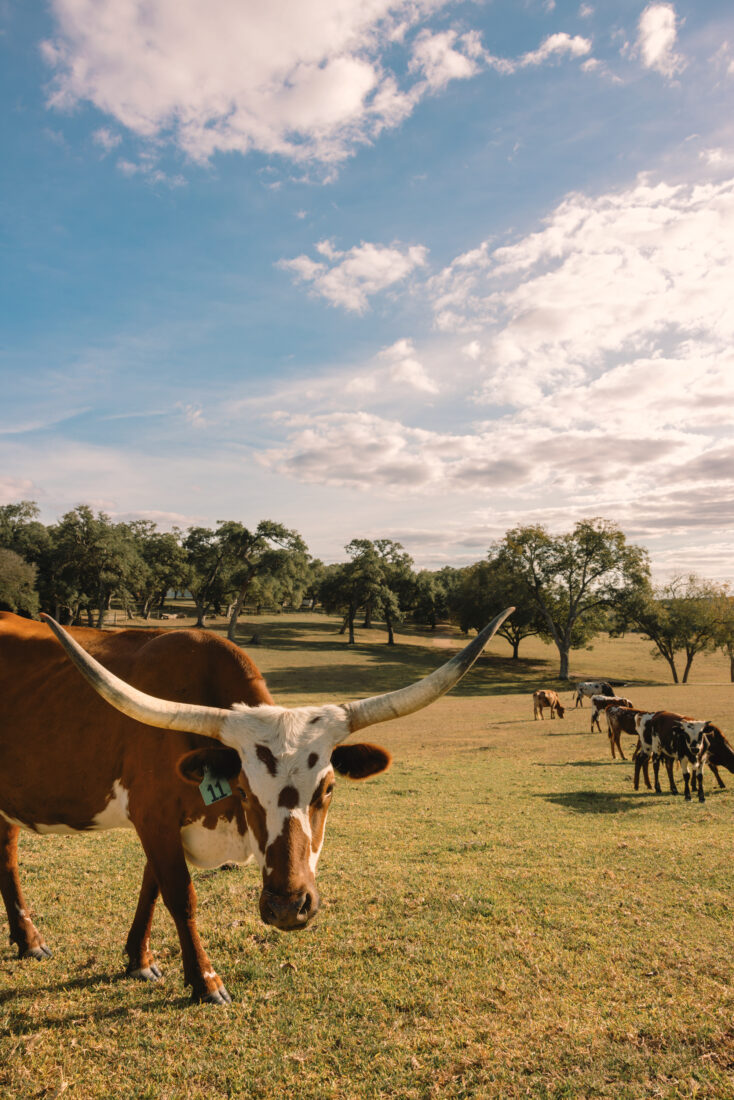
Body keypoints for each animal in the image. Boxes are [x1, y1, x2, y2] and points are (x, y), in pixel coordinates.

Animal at [0, 607, 515, 1003]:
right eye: (244, 790)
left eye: (328, 788)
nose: (287, 907)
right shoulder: (153, 816)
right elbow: (179, 895)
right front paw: (205, 981)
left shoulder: (160, 823)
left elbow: (151, 889)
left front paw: (139, 960)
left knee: (7, 856)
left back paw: (28, 942)